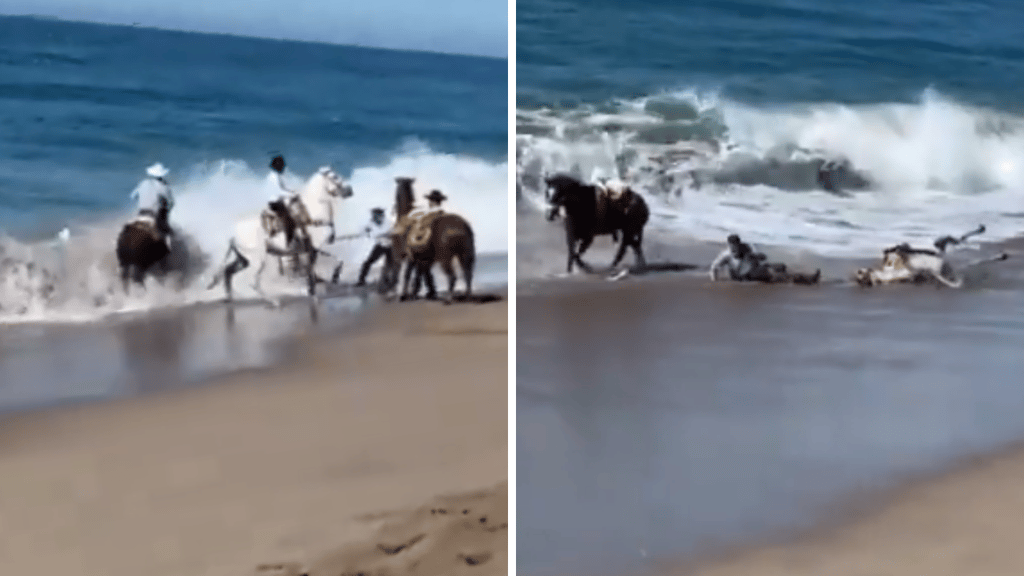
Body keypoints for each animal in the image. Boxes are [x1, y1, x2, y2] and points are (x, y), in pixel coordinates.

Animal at [205, 165, 354, 303]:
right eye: (334, 177)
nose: (350, 190)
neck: (313, 215)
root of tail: (233, 234)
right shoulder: (316, 247)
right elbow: (317, 268)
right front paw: (322, 285)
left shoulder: (312, 249)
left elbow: (332, 262)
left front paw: (326, 281)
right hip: (257, 260)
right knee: (252, 282)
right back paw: (273, 301)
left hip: (243, 259)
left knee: (228, 272)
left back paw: (230, 297)